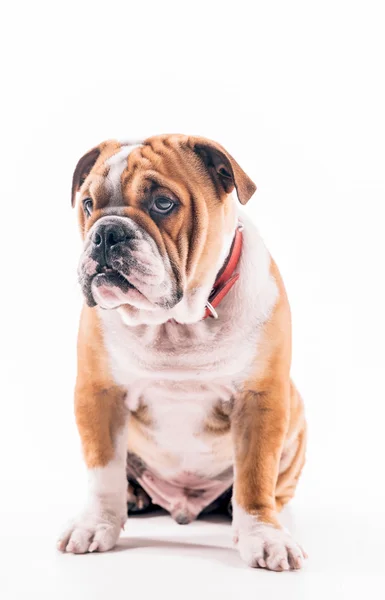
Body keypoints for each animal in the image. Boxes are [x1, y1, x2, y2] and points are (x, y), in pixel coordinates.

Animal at [57, 136, 306, 572]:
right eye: (87, 204)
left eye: (163, 203)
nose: (106, 233)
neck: (174, 324)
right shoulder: (98, 394)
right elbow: (102, 471)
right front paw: (95, 523)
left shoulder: (262, 399)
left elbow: (256, 475)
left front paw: (264, 535)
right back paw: (134, 497)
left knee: (274, 486)